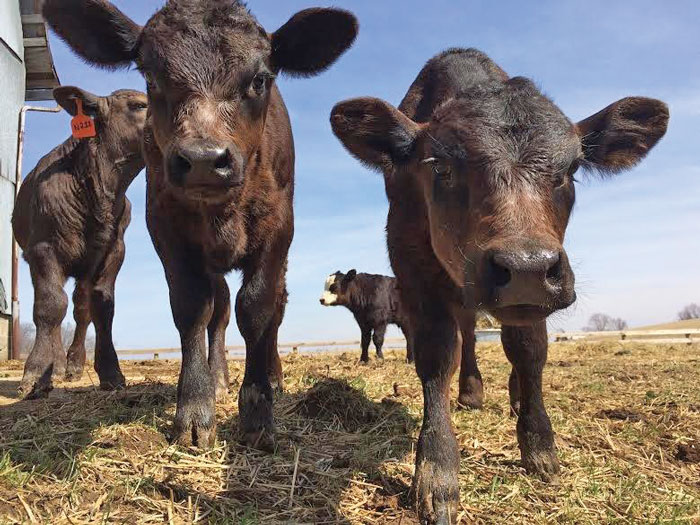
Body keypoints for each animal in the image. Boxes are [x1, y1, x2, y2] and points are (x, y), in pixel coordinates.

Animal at [12, 86, 148, 398]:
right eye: (138, 105)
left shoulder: (114, 251)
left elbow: (102, 307)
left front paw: (110, 371)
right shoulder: (43, 249)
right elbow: (49, 306)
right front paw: (37, 371)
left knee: (80, 308)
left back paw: (72, 364)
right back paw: (56, 367)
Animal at [43, 0, 358, 446]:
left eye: (260, 79)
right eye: (151, 76)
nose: (205, 159)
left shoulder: (278, 229)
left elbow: (257, 309)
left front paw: (258, 411)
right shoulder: (166, 229)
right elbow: (194, 309)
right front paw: (195, 407)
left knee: (273, 311)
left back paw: (274, 377)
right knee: (219, 312)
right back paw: (218, 377)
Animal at [330, 47, 668, 520]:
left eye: (571, 168)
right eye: (441, 166)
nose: (525, 266)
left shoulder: (536, 294)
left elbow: (529, 352)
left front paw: (539, 444)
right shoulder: (412, 267)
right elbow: (439, 355)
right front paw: (437, 470)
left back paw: (515, 396)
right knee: (469, 335)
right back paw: (472, 391)